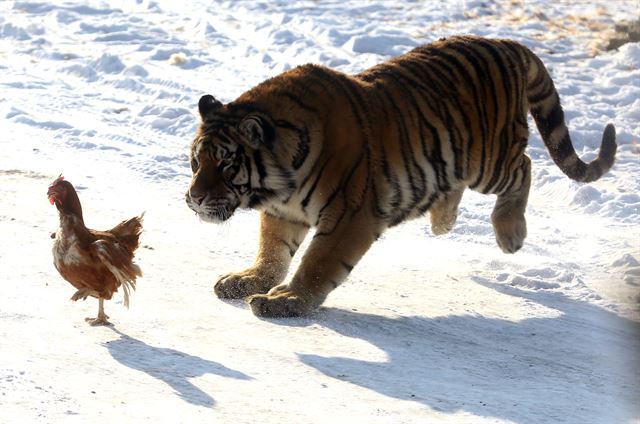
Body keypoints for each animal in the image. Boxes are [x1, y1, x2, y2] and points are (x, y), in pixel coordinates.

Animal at [185, 34, 616, 316]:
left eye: (227, 164)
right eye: (196, 162)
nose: (194, 198)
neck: (280, 180)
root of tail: (510, 44)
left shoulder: (349, 215)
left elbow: (318, 262)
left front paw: (287, 300)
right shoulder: (283, 211)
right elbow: (273, 251)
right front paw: (248, 280)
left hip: (488, 160)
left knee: (523, 167)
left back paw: (510, 233)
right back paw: (443, 221)